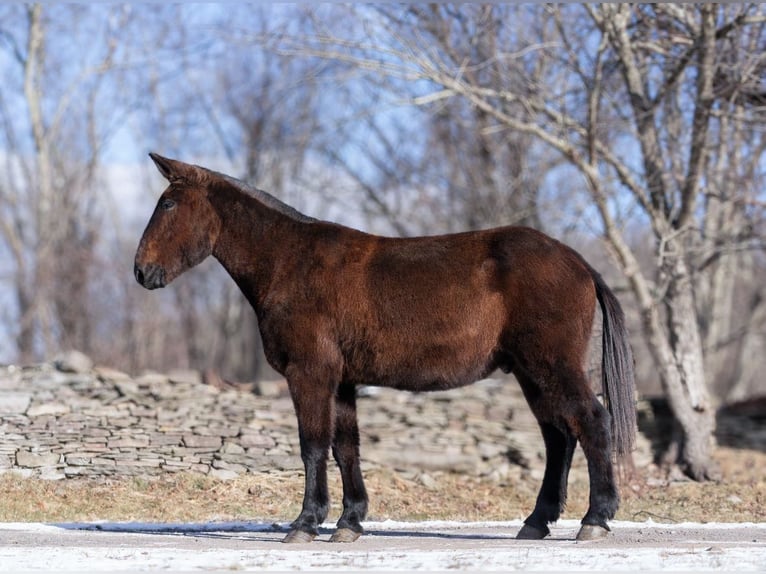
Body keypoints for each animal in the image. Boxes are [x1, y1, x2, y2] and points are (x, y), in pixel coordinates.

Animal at [134, 153, 636, 543]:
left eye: (168, 203)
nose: (141, 271)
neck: (290, 262)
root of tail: (577, 261)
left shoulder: (309, 373)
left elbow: (313, 445)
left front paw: (306, 522)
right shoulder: (341, 381)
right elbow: (345, 447)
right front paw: (349, 521)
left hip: (552, 366)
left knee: (592, 422)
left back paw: (595, 519)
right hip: (533, 374)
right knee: (559, 437)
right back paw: (537, 521)